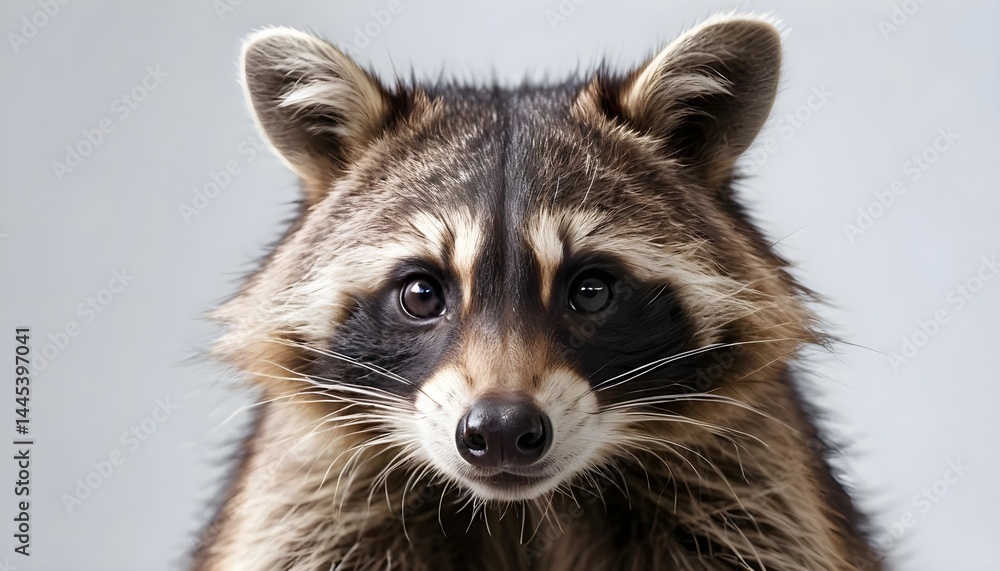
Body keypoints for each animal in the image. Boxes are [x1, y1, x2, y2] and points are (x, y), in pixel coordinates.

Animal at [192, 13, 882, 571]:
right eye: (421, 294)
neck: (525, 509)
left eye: (592, 291)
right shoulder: (311, 499)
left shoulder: (750, 486)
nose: (500, 429)